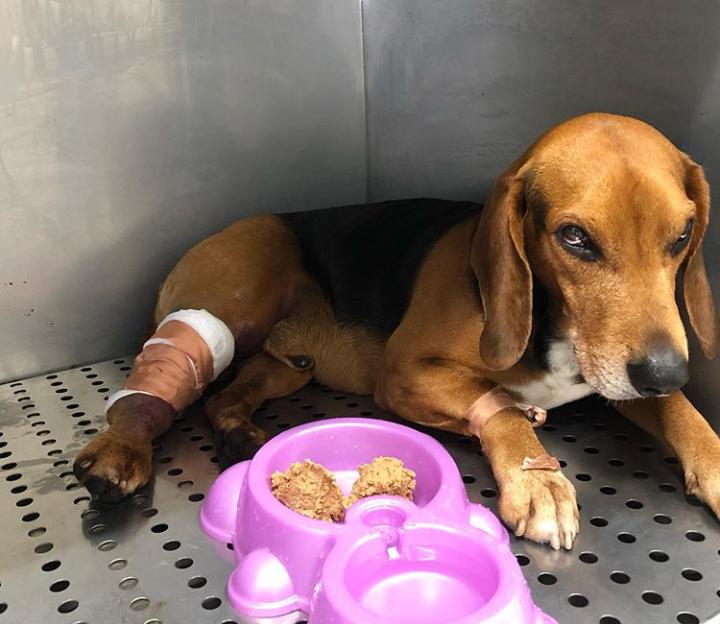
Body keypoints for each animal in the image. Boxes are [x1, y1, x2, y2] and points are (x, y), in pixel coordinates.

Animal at [74, 112, 719, 550]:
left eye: (684, 234)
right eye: (575, 238)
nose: (666, 372)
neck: (553, 326)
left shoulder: (623, 375)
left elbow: (682, 412)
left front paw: (711, 458)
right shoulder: (404, 374)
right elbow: (501, 407)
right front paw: (537, 478)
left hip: (285, 368)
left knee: (225, 398)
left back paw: (237, 432)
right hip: (227, 309)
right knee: (151, 395)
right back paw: (118, 450)